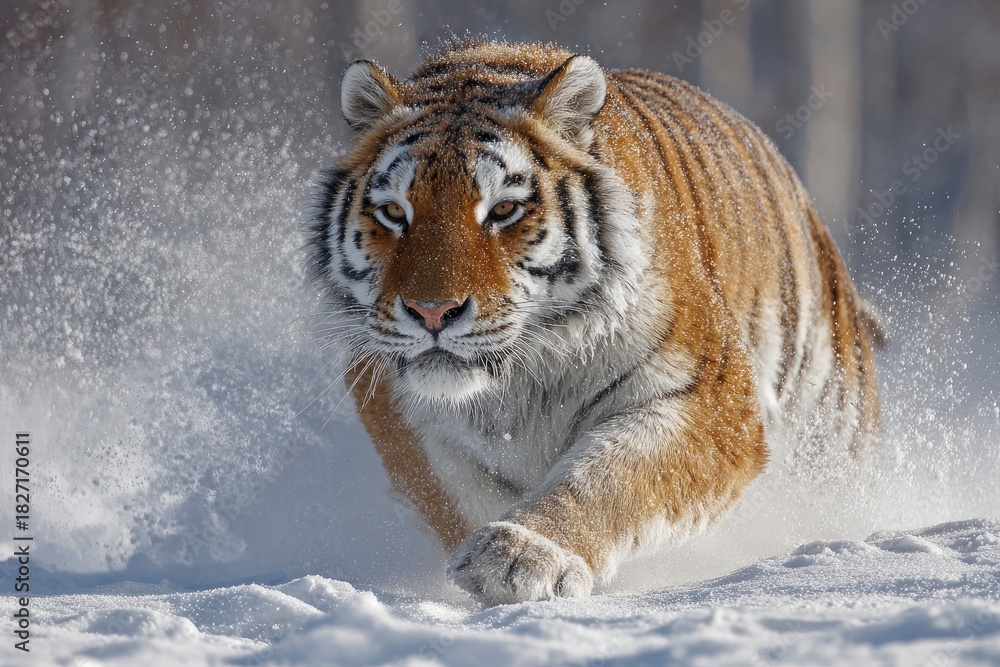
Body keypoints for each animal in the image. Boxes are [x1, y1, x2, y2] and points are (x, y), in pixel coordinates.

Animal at [305, 40, 883, 605]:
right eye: (394, 213)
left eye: (504, 210)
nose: (431, 311)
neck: (521, 379)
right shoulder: (398, 412)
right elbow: (460, 495)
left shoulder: (710, 397)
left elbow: (609, 476)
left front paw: (520, 554)